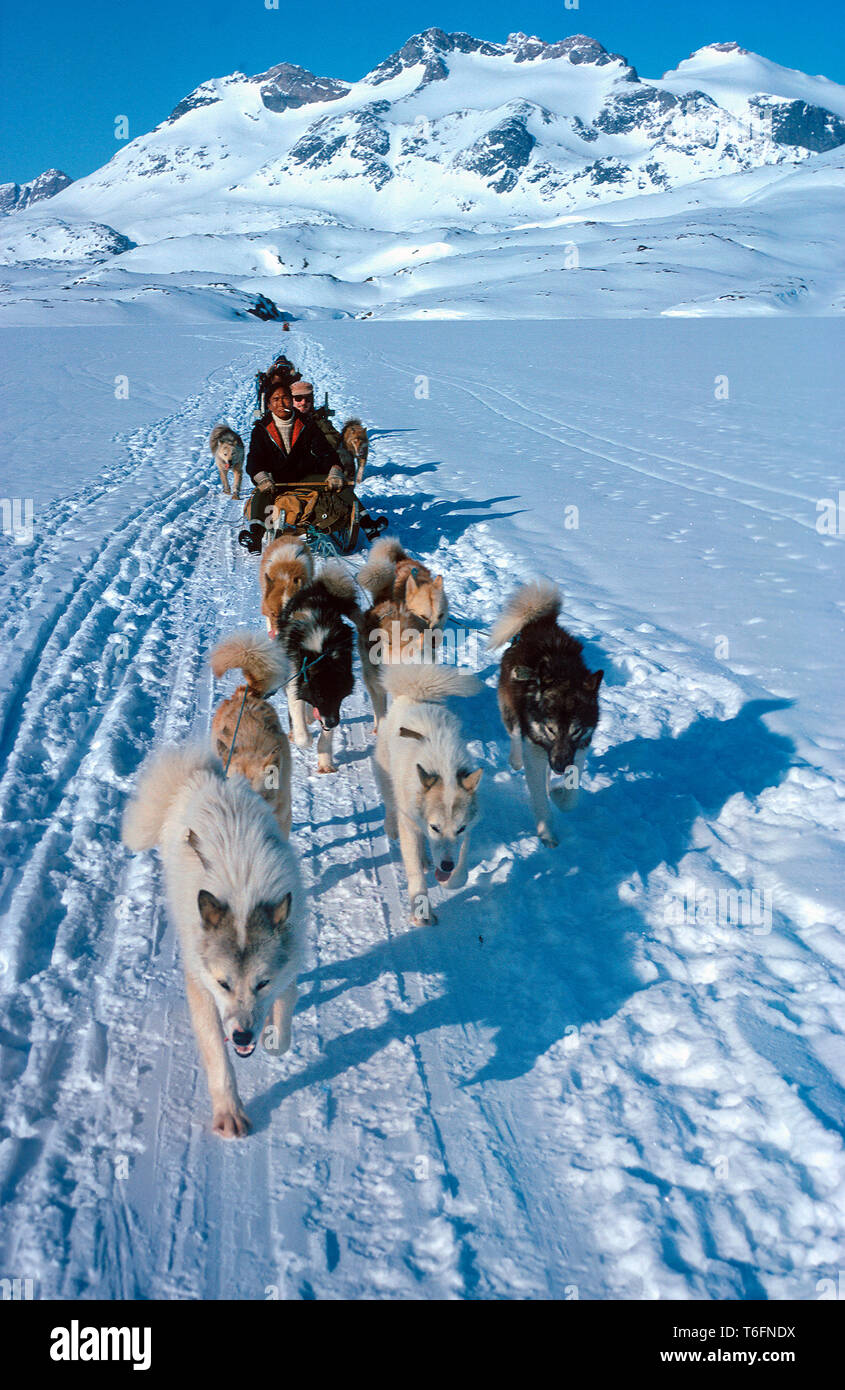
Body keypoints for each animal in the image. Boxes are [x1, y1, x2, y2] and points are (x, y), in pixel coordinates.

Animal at [118, 750, 302, 1139]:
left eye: (262, 982)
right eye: (223, 983)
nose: (243, 1036)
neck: (243, 897)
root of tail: (203, 775)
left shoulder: (290, 965)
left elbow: (283, 1025)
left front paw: (271, 1033)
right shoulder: (201, 986)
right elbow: (218, 1056)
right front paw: (229, 1110)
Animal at [275, 561, 358, 772]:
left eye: (339, 695)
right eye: (320, 695)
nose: (333, 722)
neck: (321, 650)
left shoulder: (331, 709)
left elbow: (325, 735)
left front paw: (325, 762)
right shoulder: (296, 682)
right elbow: (301, 727)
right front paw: (303, 737)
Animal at [375, 667, 486, 928]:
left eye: (459, 828)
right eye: (435, 827)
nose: (446, 865)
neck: (442, 767)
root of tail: (415, 694)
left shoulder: (468, 830)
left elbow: (461, 867)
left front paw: (451, 878)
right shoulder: (410, 825)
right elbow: (415, 872)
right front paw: (422, 911)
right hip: (387, 778)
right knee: (390, 804)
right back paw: (391, 826)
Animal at [489, 578, 600, 845]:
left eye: (576, 731)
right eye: (550, 729)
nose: (560, 764)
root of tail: (539, 624)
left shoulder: (580, 750)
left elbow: (571, 795)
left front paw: (559, 793)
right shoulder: (537, 752)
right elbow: (540, 799)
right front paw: (547, 834)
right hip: (509, 709)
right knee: (514, 733)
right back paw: (516, 759)